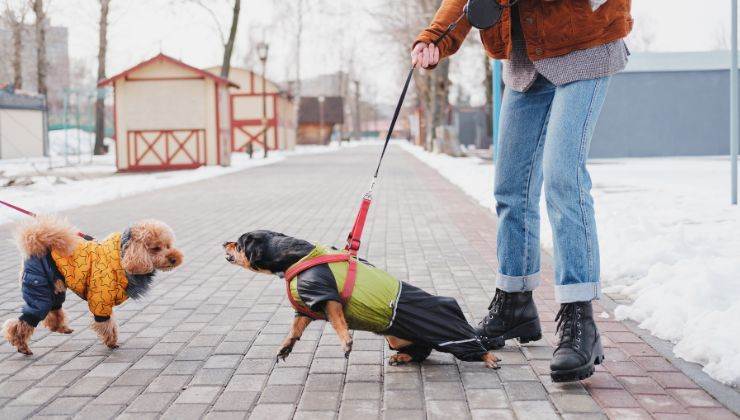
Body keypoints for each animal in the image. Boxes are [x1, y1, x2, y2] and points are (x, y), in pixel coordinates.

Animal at [223, 230, 500, 368]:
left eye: (238, 244)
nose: (224, 243)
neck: (296, 256)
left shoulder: (327, 297)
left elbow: (338, 323)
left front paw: (347, 342)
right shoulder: (307, 306)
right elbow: (294, 329)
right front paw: (285, 348)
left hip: (450, 332)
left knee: (472, 345)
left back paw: (490, 359)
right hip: (397, 337)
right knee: (422, 352)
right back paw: (402, 358)